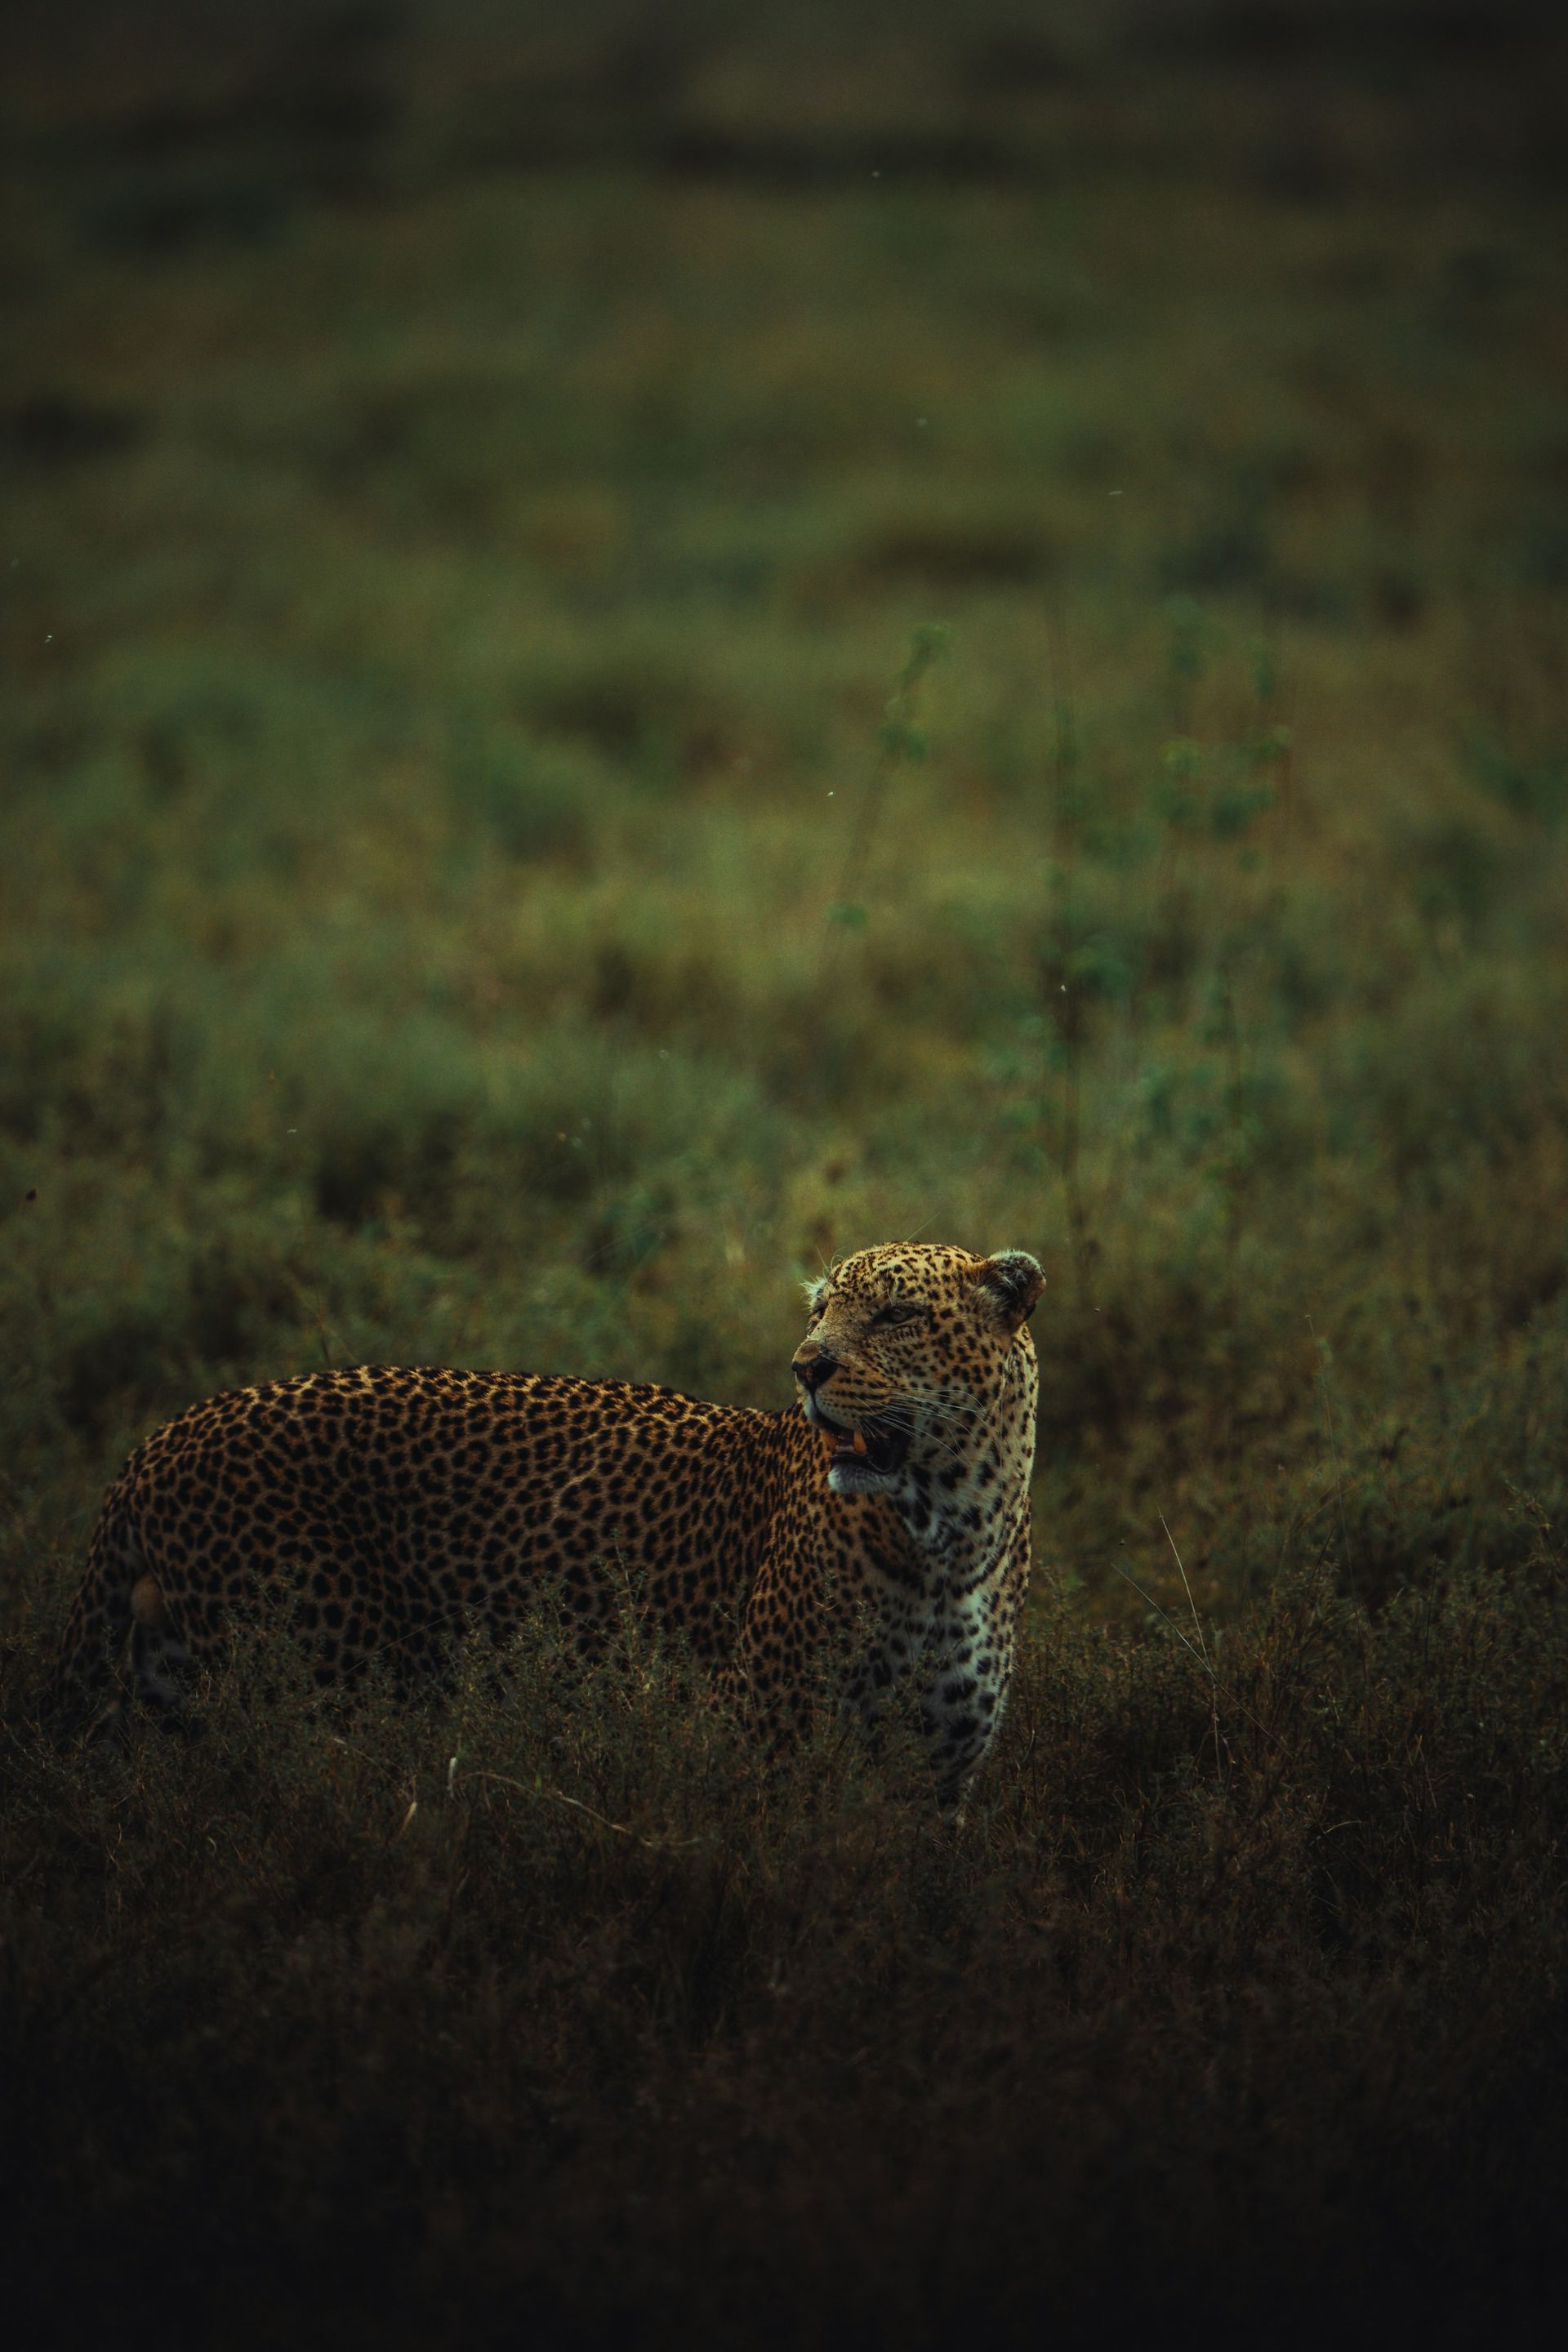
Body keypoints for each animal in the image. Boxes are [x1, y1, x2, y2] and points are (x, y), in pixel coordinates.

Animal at [52, 1241, 1043, 1805]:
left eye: (896, 1313)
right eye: (820, 1309)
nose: (806, 1366)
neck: (950, 1533)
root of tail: (163, 1436)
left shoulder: (938, 1783)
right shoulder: (756, 1737)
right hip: (319, 1676)